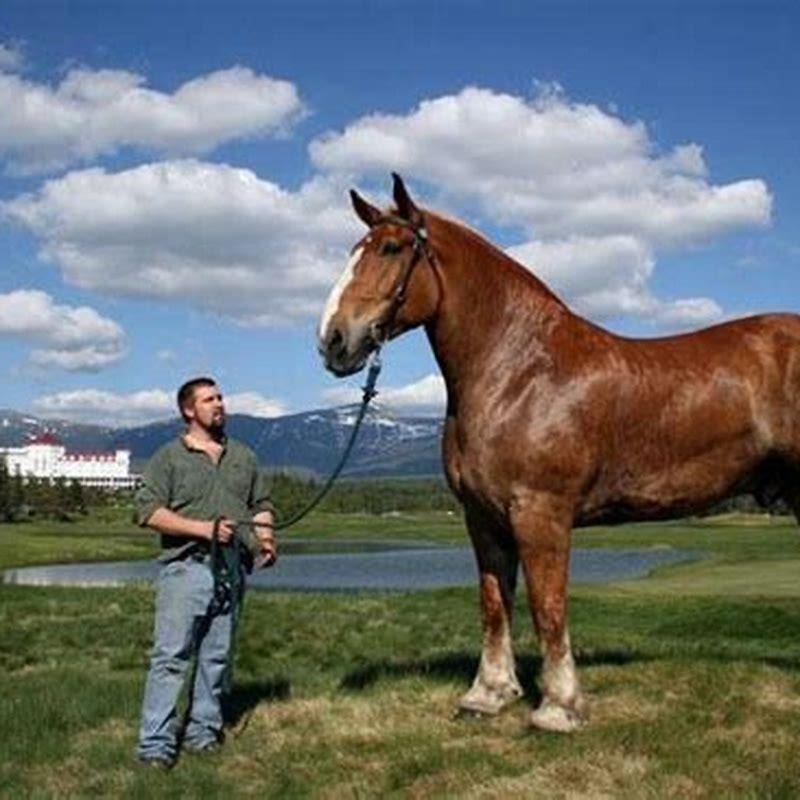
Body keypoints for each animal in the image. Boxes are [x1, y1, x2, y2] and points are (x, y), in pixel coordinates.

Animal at [317, 173, 800, 733]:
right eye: (356, 250)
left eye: (392, 249)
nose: (332, 341)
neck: (522, 373)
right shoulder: (483, 518)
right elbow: (494, 605)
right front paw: (488, 695)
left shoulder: (540, 513)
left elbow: (548, 606)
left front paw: (559, 707)